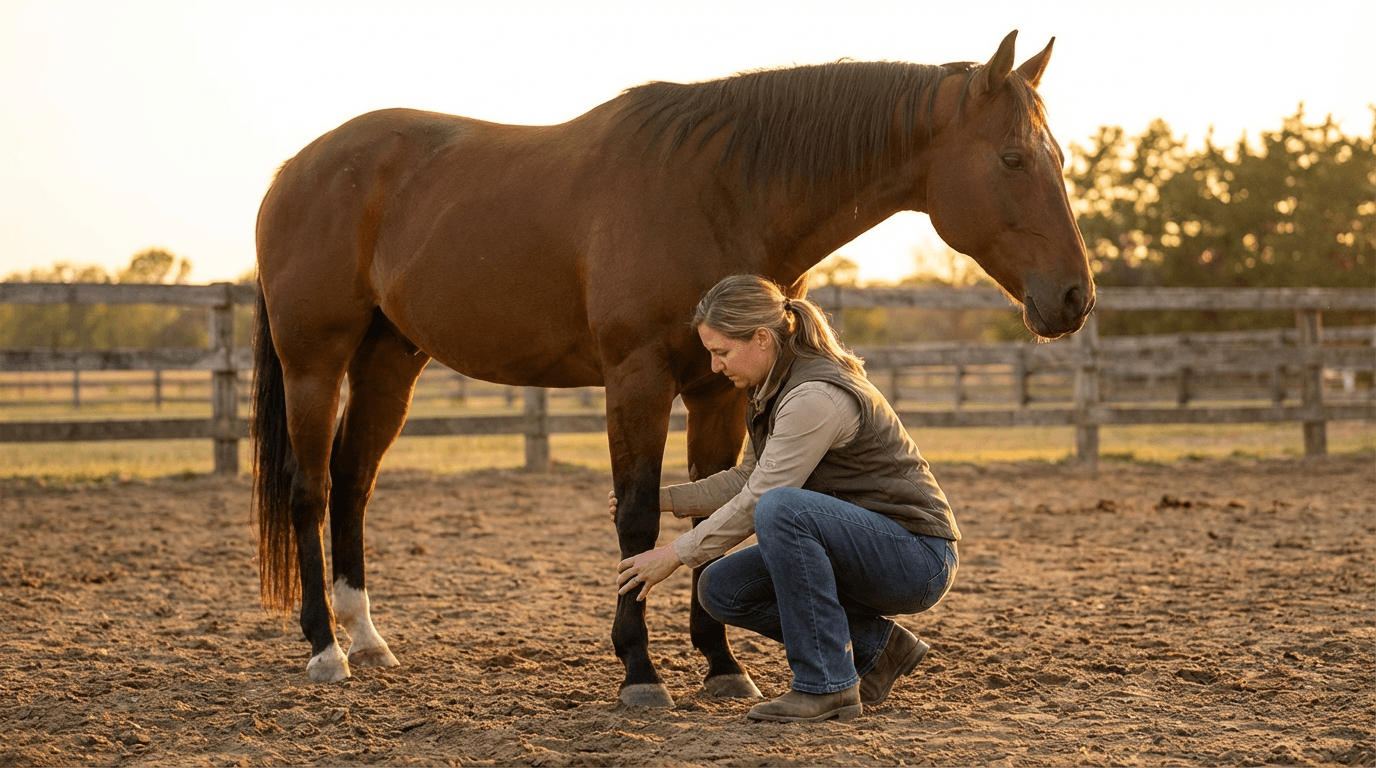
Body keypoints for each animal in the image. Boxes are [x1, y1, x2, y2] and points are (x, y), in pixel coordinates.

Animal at [251, 30, 1094, 707]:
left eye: (1057, 157)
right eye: (1013, 158)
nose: (1074, 298)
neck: (718, 191)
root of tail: (295, 169)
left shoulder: (716, 390)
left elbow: (705, 512)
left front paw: (722, 665)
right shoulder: (637, 379)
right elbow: (637, 516)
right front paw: (639, 673)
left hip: (391, 361)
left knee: (354, 484)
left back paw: (367, 638)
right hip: (314, 361)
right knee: (311, 489)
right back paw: (326, 650)